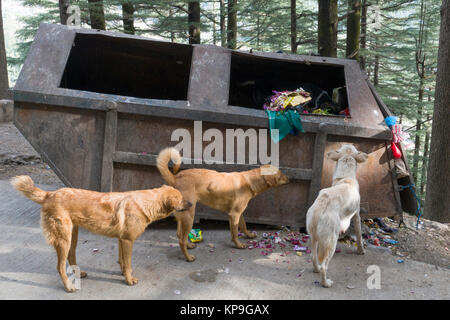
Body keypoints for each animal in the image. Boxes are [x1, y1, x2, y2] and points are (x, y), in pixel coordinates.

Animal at [10, 175, 190, 292]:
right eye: (181, 199)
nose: (191, 203)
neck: (146, 203)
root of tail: (50, 194)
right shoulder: (127, 240)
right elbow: (128, 263)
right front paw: (129, 279)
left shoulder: (121, 240)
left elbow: (123, 262)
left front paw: (124, 273)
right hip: (64, 239)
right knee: (60, 266)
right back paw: (69, 287)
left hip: (72, 237)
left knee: (71, 256)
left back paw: (78, 273)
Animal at [156, 148, 288, 262]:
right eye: (280, 175)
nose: (289, 179)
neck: (249, 181)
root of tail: (175, 178)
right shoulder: (234, 214)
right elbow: (235, 233)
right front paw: (238, 245)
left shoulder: (239, 213)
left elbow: (243, 226)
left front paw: (249, 235)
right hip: (189, 217)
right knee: (181, 240)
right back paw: (188, 257)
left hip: (182, 217)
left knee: (179, 235)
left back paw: (189, 245)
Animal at [308, 145, 368, 288]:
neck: (345, 177)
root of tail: (320, 207)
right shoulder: (356, 215)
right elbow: (359, 236)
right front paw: (361, 250)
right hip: (331, 242)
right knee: (324, 266)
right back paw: (326, 283)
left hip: (314, 237)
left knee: (313, 257)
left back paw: (316, 269)